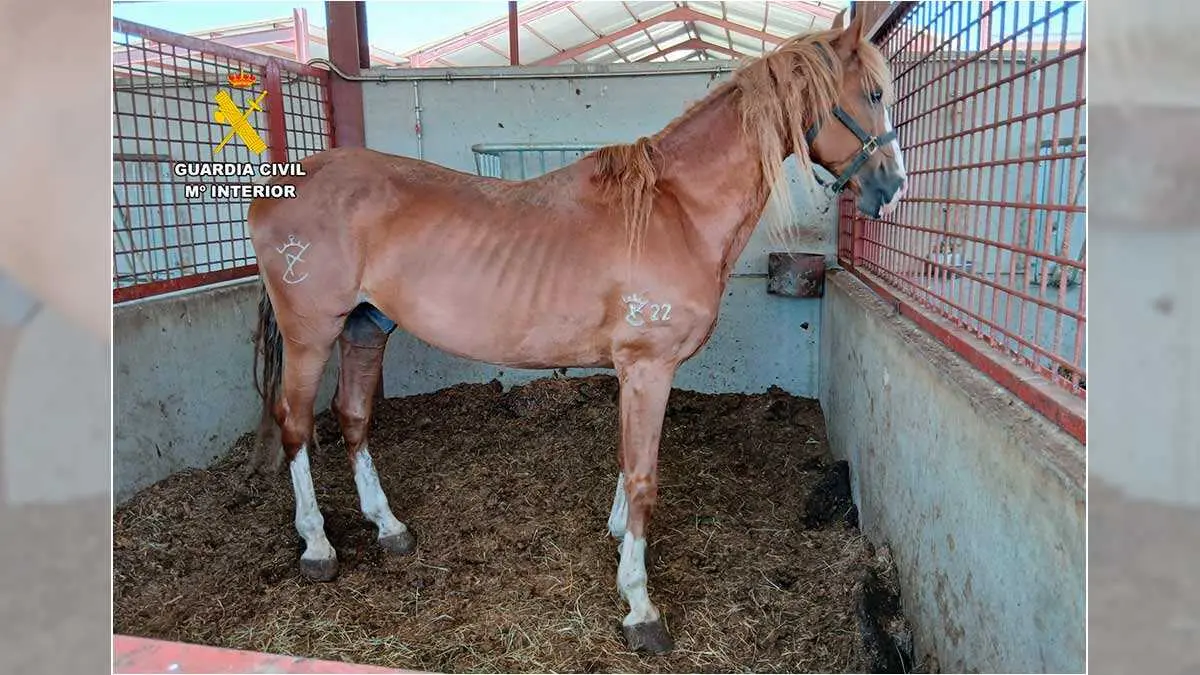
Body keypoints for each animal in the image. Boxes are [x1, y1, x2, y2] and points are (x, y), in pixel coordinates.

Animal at [247, 13, 906, 654]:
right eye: (873, 94)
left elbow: (627, 459)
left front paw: (617, 537)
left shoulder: (636, 372)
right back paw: (318, 548)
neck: (676, 211)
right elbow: (643, 477)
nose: (892, 188)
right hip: (311, 334)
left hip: (366, 326)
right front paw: (640, 605)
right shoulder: (647, 367)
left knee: (353, 416)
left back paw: (388, 528)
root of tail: (288, 180)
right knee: (296, 424)